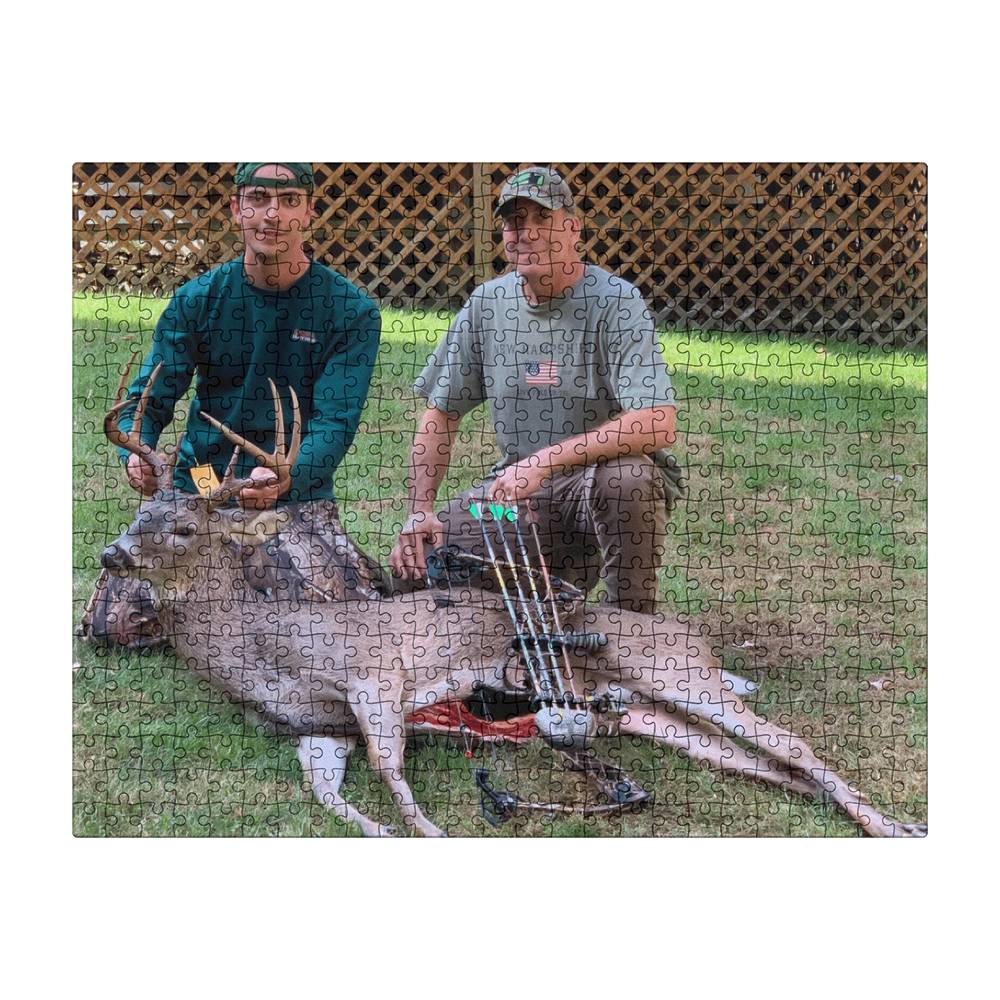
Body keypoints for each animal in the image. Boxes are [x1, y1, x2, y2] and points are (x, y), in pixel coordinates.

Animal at [98, 361, 927, 838]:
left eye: (181, 526)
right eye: (135, 514)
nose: (111, 554)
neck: (263, 649)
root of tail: (694, 639)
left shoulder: (375, 674)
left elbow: (395, 775)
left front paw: (431, 833)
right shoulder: (316, 728)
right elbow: (329, 796)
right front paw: (384, 832)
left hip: (673, 670)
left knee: (790, 743)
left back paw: (896, 826)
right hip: (647, 712)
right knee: (757, 763)